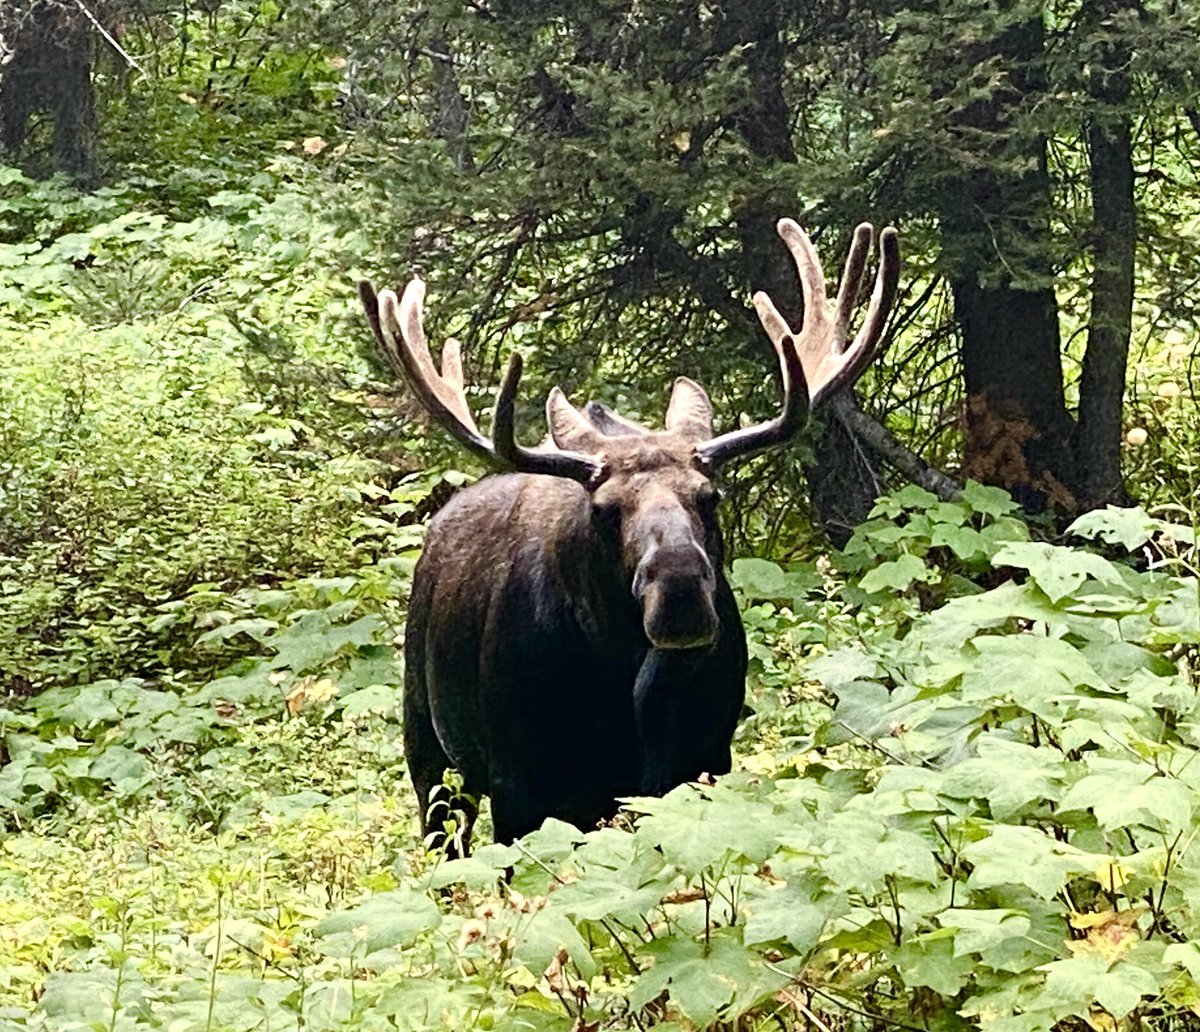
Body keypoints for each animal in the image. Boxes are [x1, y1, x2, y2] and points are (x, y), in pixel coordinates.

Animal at [358, 218, 899, 853]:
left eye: (709, 496)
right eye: (605, 510)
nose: (680, 590)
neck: (627, 684)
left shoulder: (700, 766)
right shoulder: (520, 786)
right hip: (431, 752)